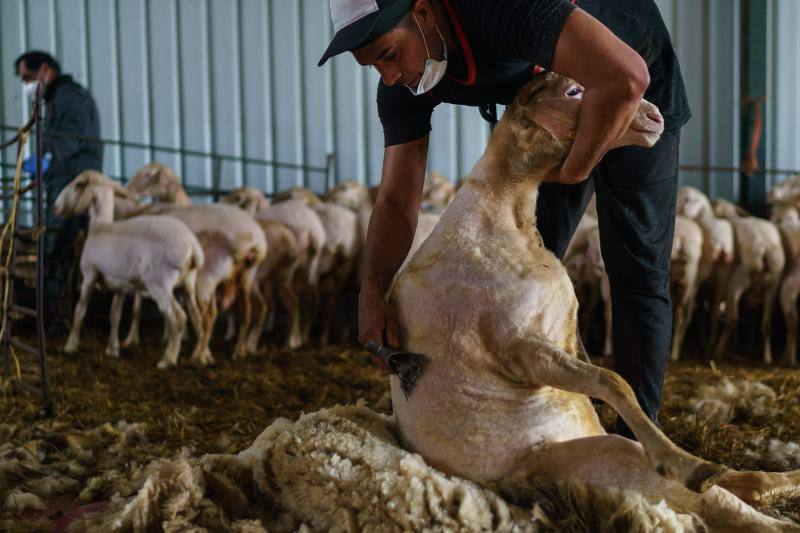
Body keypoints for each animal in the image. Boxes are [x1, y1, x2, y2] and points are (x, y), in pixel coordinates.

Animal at [53, 171, 204, 369]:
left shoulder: (89, 275)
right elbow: (115, 316)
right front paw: (112, 349)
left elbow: (80, 310)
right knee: (198, 317)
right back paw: (200, 356)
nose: (56, 207)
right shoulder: (120, 286)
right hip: (189, 284)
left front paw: (70, 346)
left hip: (159, 284)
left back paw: (168, 359)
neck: (100, 226)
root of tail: (192, 247)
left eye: (78, 185)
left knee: (179, 318)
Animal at [126, 163, 267, 360]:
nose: (128, 189)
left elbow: (142, 306)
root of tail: (256, 240)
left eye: (147, 174)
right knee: (248, 311)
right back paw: (239, 350)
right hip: (247, 278)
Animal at [385, 73, 799, 529]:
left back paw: (782, 476)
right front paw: (679, 461)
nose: (655, 116)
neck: (500, 218)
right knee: (736, 509)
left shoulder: (564, 333)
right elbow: (612, 380)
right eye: (572, 92)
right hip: (612, 460)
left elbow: (605, 379)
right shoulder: (519, 346)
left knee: (750, 486)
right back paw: (714, 477)